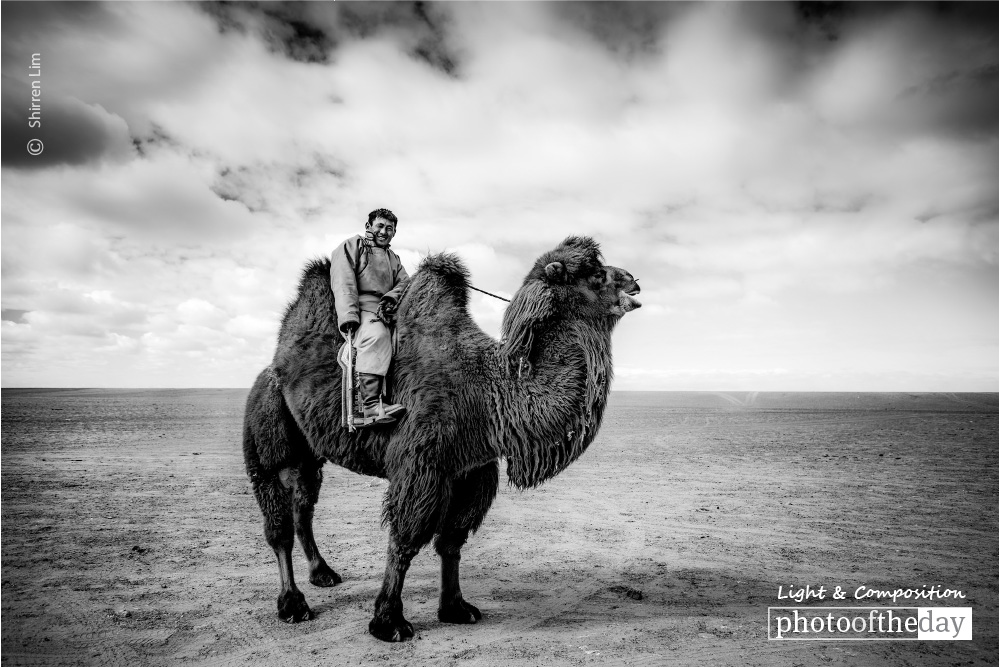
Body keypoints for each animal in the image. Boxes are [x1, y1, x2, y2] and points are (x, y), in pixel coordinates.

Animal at [242, 235, 641, 641]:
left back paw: (322, 573)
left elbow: (452, 540)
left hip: (310, 451)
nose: (634, 281)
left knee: (304, 503)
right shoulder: (422, 464)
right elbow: (405, 540)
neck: (487, 391)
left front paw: (456, 608)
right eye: (595, 274)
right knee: (278, 520)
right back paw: (293, 604)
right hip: (268, 426)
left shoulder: (472, 470)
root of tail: (272, 366)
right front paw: (389, 622)